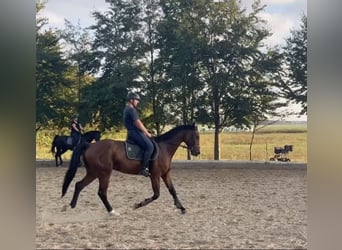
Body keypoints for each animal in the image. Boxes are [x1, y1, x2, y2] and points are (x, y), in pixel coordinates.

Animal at [61, 123, 200, 215]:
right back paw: (112, 211)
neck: (164, 148)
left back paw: (70, 206)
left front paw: (182, 208)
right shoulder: (155, 175)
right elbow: (156, 195)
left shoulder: (165, 174)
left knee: (79, 185)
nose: (197, 152)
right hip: (104, 173)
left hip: (93, 172)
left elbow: (172, 190)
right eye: (197, 136)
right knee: (101, 192)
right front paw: (137, 205)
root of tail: (90, 145)